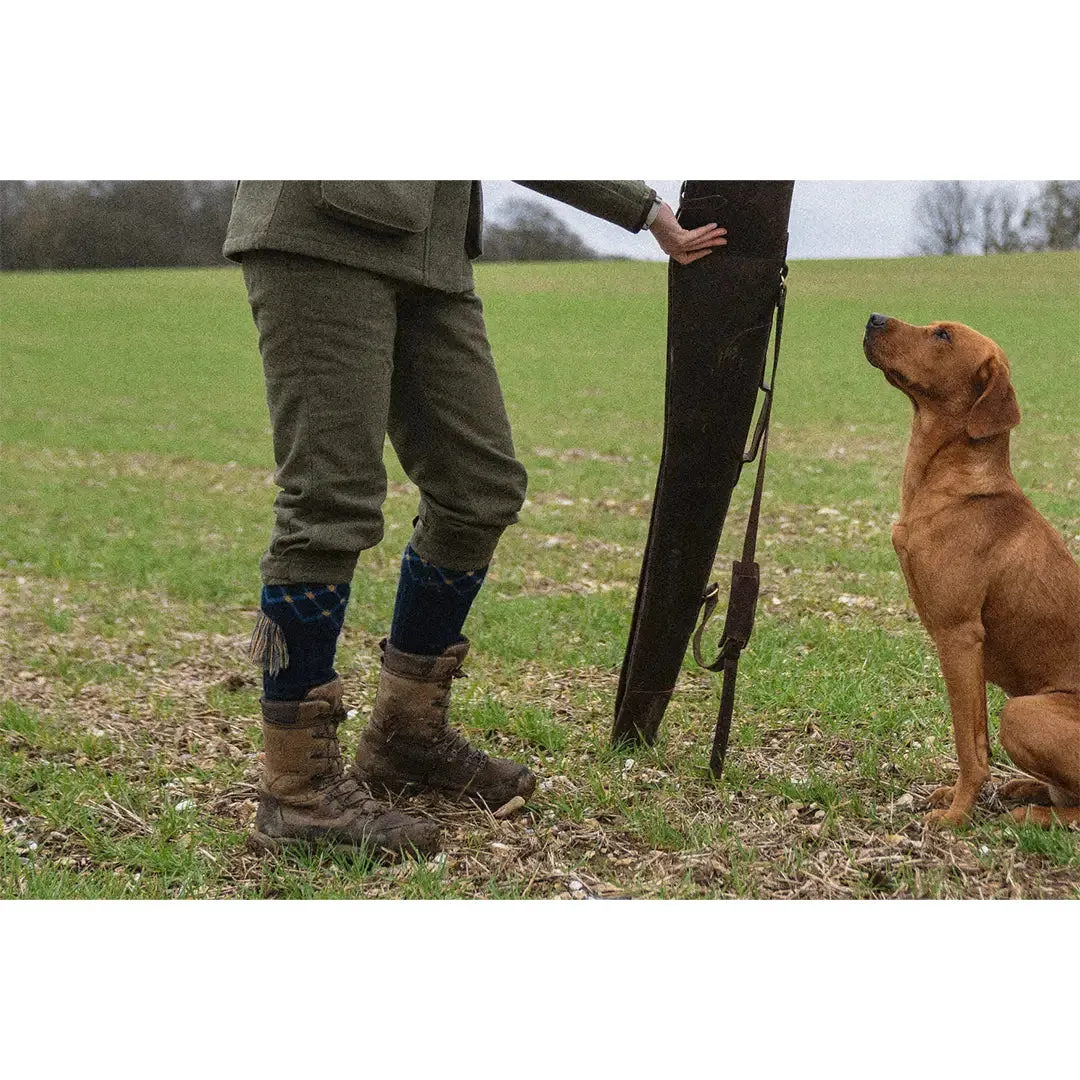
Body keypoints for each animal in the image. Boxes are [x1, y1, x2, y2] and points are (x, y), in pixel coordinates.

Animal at [859, 313, 1080, 825]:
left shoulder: (959, 635)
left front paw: (957, 815)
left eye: (943, 335)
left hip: (1023, 712)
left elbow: (968, 745)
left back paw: (1031, 816)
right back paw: (1026, 790)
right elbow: (974, 738)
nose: (873, 318)